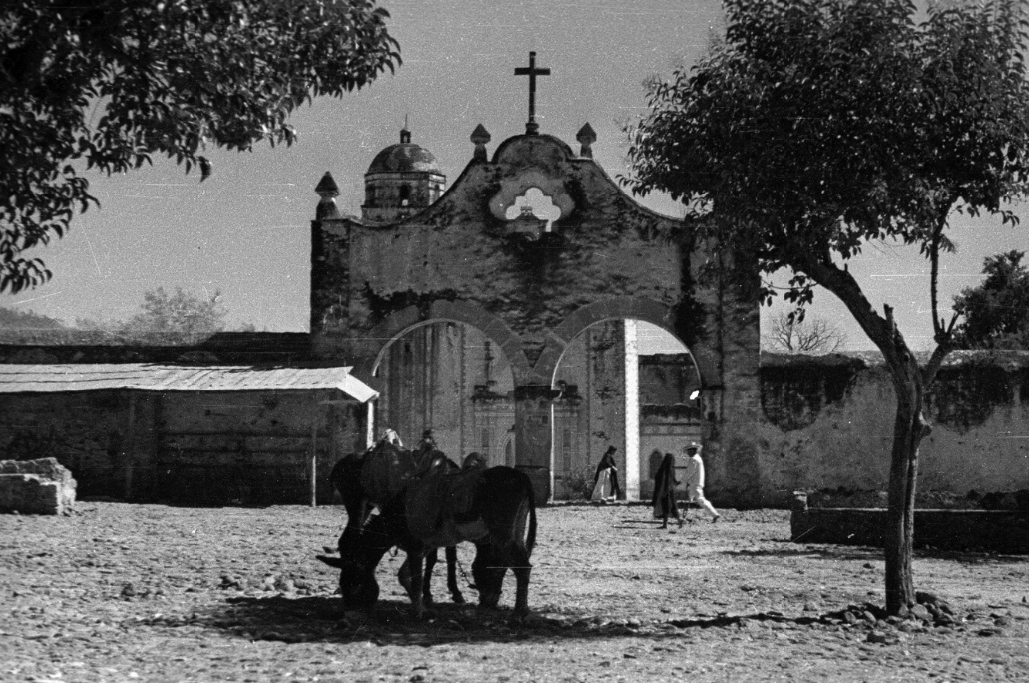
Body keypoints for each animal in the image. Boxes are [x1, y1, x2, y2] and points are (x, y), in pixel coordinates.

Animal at [316, 466, 535, 617]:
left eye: (355, 584)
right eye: (342, 586)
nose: (349, 613)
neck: (396, 515)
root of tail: (520, 476)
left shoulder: (415, 548)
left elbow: (416, 579)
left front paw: (418, 612)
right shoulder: (423, 547)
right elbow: (404, 576)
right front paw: (423, 606)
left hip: (503, 535)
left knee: (522, 567)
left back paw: (519, 613)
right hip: (515, 531)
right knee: (520, 564)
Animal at [325, 438, 467, 604]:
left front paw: (429, 593)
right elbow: (445, 556)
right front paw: (451, 592)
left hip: (365, 507)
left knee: (346, 540)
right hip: (357, 505)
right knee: (348, 540)